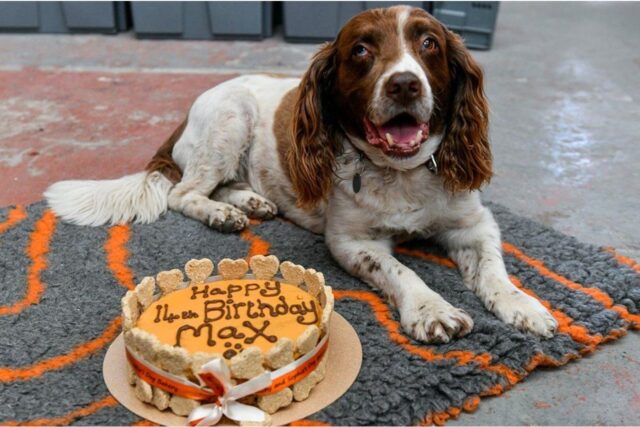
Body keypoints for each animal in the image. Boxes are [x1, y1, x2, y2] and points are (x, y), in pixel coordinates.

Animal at [45, 6, 556, 344]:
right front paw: (433, 309)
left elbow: (493, 270)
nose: (405, 84)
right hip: (231, 119)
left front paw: (523, 305)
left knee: (224, 184)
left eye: (429, 43)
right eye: (362, 49)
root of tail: (192, 107)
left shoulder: (474, 225)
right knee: (184, 192)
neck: (402, 172)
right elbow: (402, 270)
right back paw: (220, 215)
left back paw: (249, 202)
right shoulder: (351, 242)